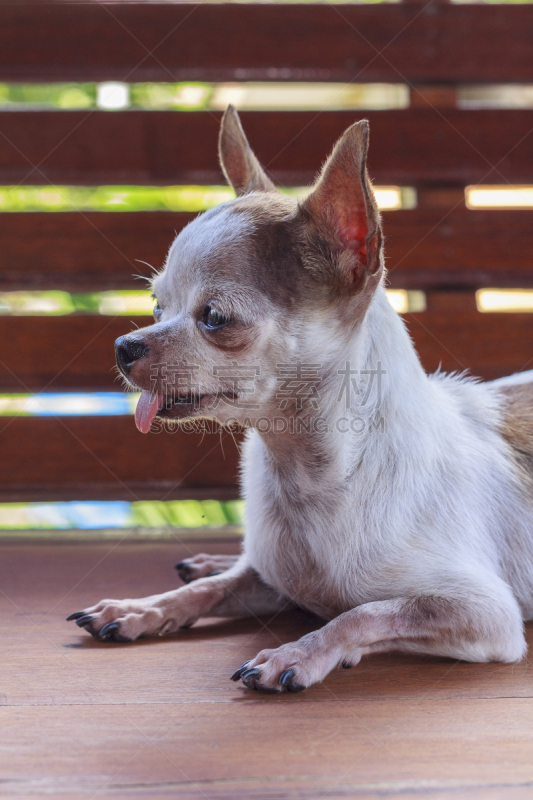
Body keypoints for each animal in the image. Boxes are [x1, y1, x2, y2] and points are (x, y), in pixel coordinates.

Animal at [67, 104, 532, 692]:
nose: (123, 346)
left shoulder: (485, 613)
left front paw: (297, 653)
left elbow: (363, 612)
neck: (304, 479)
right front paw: (141, 608)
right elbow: (208, 591)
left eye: (214, 317)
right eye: (156, 306)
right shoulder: (276, 579)